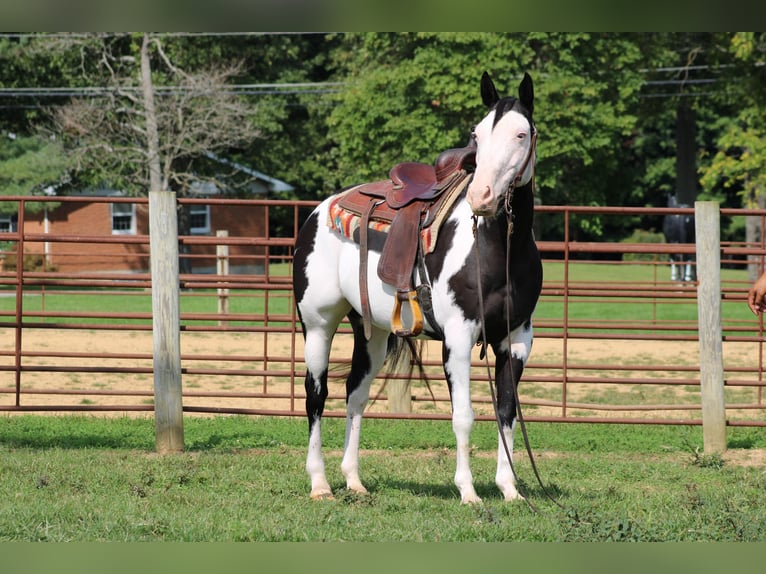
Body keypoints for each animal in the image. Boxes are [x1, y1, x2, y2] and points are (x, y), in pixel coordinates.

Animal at [292, 71, 544, 504]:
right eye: (477, 133)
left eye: (521, 134)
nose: (482, 197)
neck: (497, 249)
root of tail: (319, 212)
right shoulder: (458, 337)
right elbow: (464, 416)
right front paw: (468, 492)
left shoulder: (516, 339)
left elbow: (507, 412)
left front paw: (510, 489)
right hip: (318, 325)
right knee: (316, 396)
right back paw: (320, 484)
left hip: (372, 333)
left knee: (355, 394)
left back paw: (354, 481)